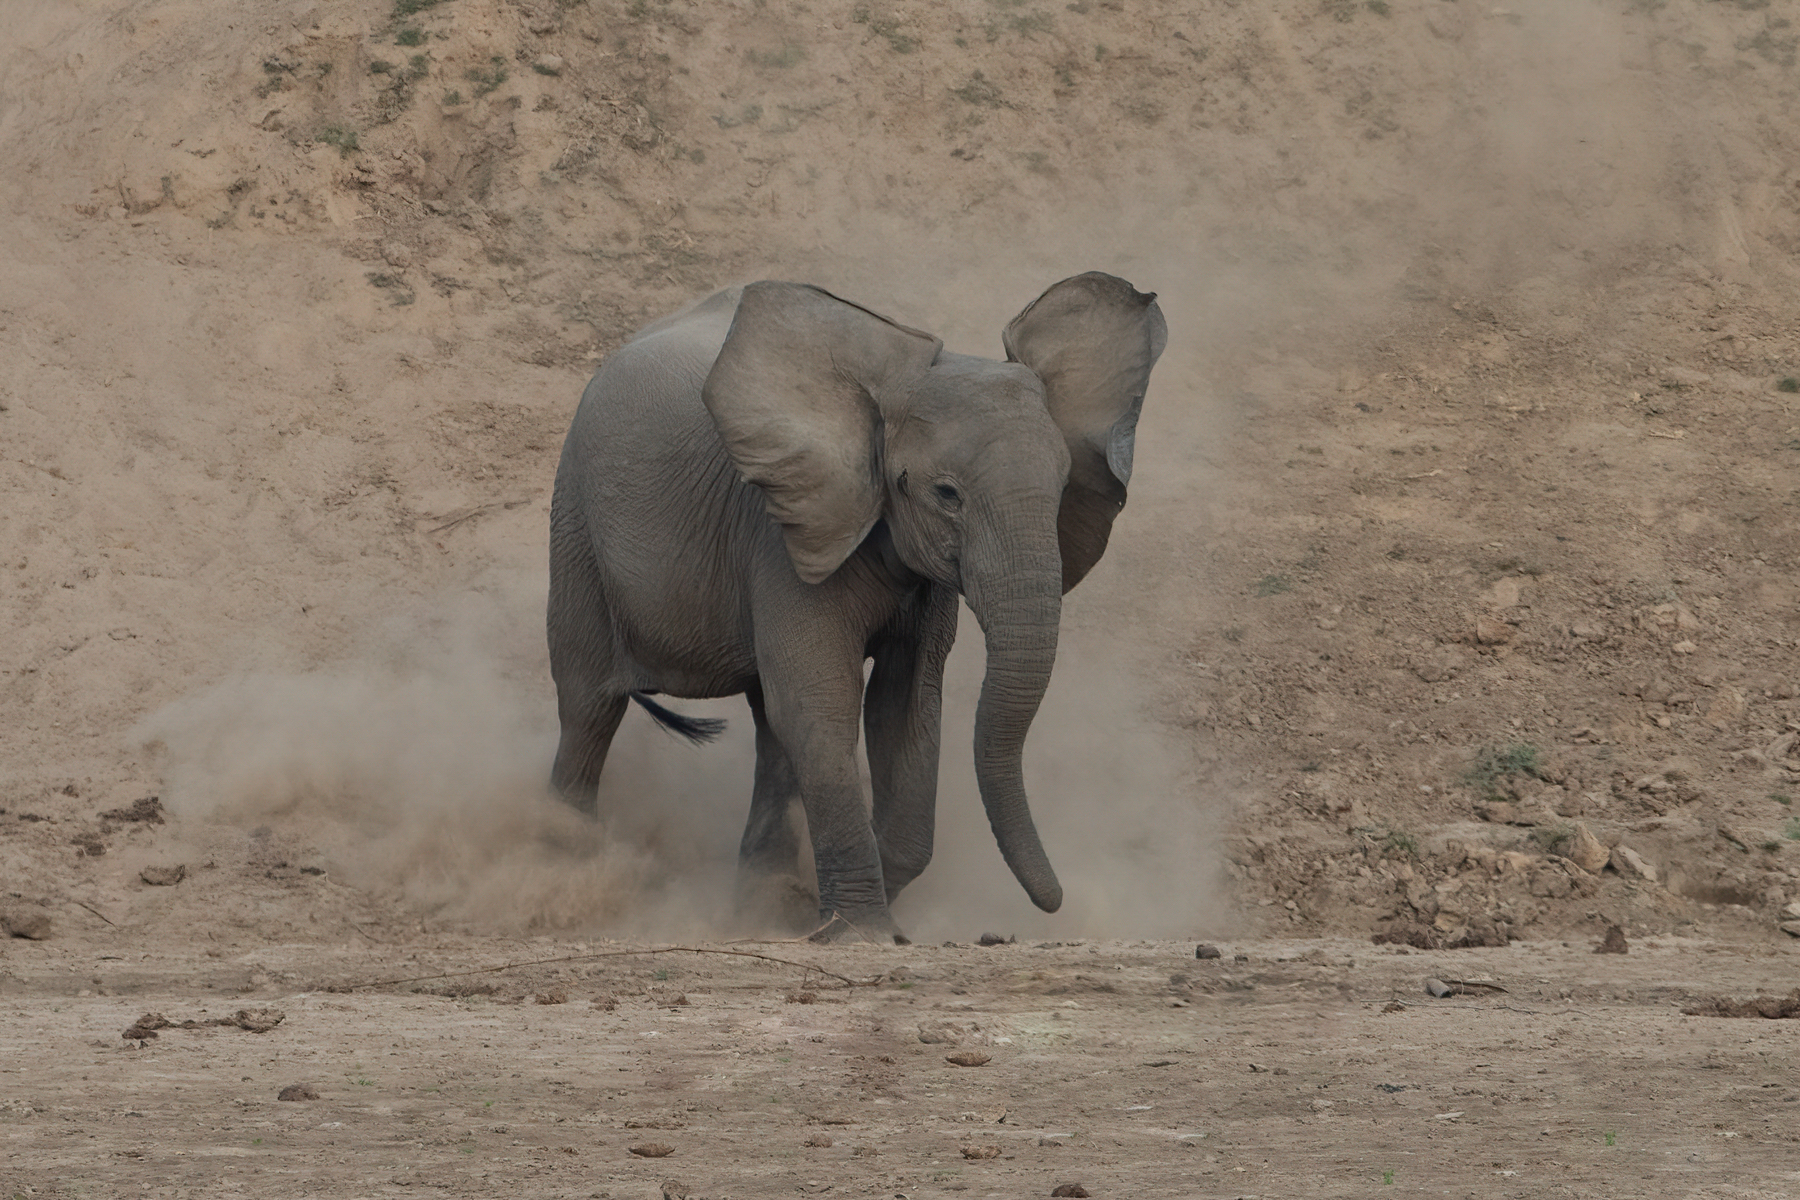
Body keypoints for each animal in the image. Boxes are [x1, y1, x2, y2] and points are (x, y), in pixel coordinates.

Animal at [546, 272, 1166, 942]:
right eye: (946, 494)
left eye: (1060, 491)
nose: (1053, 902)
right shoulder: (781, 532)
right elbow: (822, 704)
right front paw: (861, 930)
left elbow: (904, 707)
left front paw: (833, 907)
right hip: (576, 523)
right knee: (588, 707)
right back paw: (560, 872)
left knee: (769, 725)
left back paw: (761, 905)